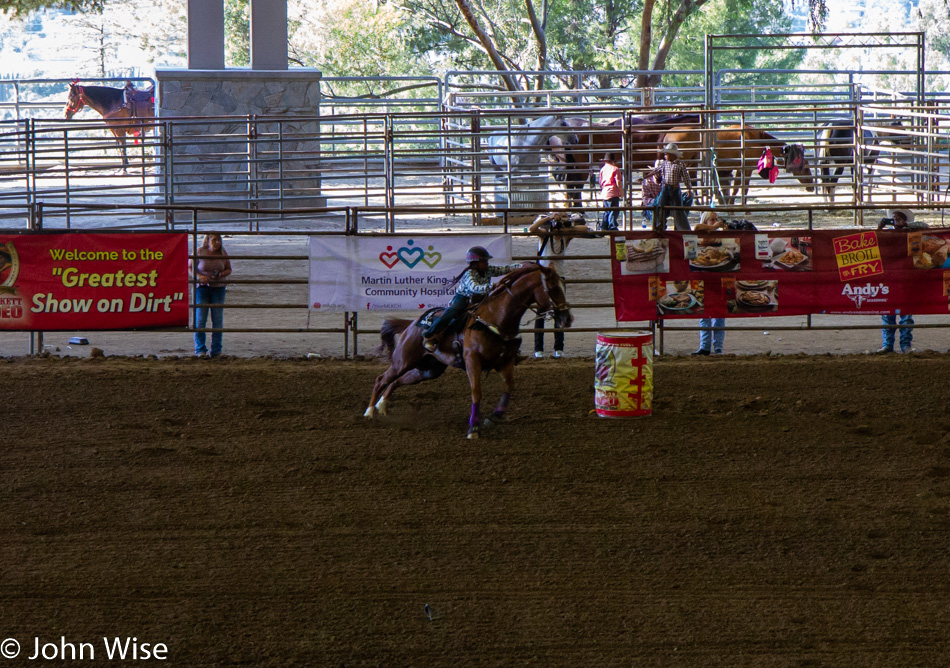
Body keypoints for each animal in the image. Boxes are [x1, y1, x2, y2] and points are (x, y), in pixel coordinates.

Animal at [362, 264, 572, 440]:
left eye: (564, 286)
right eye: (552, 288)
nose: (567, 318)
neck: (497, 317)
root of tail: (412, 324)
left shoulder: (505, 362)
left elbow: (508, 389)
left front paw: (492, 419)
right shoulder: (473, 362)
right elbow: (476, 393)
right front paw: (474, 429)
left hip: (428, 370)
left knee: (397, 381)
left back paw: (382, 405)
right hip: (404, 360)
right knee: (381, 379)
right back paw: (370, 412)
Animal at [660, 124, 820, 205]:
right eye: (805, 167)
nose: (812, 187)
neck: (758, 139)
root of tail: (668, 134)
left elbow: (740, 188)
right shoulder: (745, 168)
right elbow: (739, 187)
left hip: (692, 163)